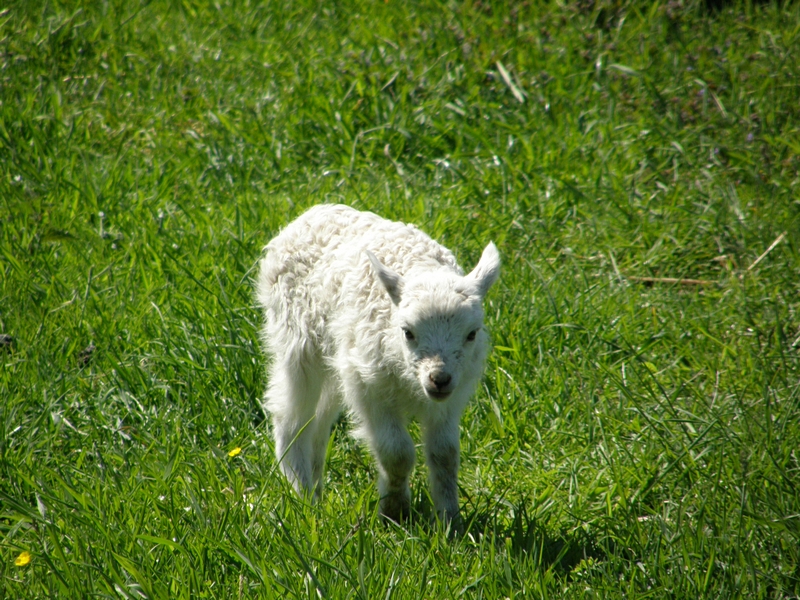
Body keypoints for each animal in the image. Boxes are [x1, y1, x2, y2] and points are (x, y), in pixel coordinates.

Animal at [256, 205, 500, 524]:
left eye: (472, 333)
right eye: (407, 332)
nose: (439, 378)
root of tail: (311, 212)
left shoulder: (451, 396)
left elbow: (445, 454)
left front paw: (450, 520)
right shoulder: (370, 385)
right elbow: (397, 453)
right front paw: (394, 511)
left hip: (338, 355)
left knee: (319, 423)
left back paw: (316, 490)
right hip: (296, 339)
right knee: (293, 417)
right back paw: (303, 498)